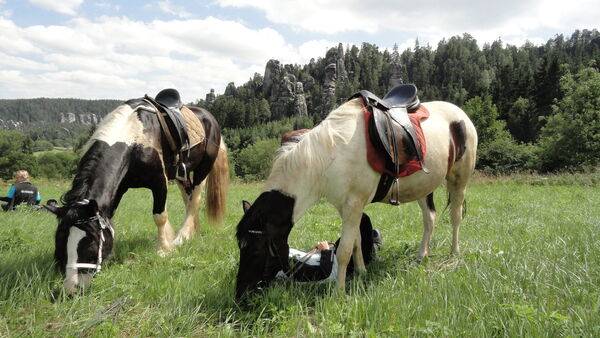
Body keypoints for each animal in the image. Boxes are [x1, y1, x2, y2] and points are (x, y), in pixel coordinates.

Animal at [46, 89, 230, 294]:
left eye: (91, 243)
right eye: (60, 241)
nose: (71, 288)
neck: (133, 138)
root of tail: (208, 116)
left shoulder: (160, 182)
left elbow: (160, 216)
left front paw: (163, 249)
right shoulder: (120, 187)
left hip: (203, 168)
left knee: (195, 200)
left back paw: (182, 238)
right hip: (181, 174)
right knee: (188, 198)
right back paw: (193, 232)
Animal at [237, 87, 476, 298]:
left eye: (255, 249)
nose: (241, 294)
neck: (329, 156)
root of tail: (461, 115)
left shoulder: (353, 204)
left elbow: (343, 250)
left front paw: (338, 293)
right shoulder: (346, 206)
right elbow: (356, 241)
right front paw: (361, 272)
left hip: (459, 180)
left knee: (455, 216)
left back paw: (454, 253)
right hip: (424, 187)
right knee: (430, 218)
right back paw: (421, 256)